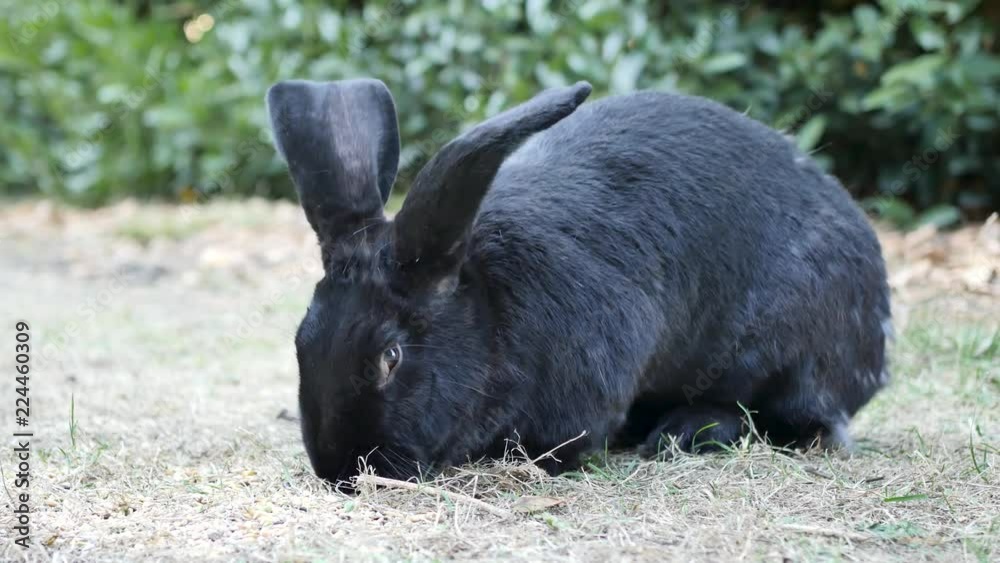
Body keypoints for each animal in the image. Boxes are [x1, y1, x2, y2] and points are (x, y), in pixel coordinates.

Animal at [266, 77, 890, 485]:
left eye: (390, 357)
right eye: (301, 341)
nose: (340, 469)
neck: (492, 308)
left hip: (785, 361)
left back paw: (683, 432)